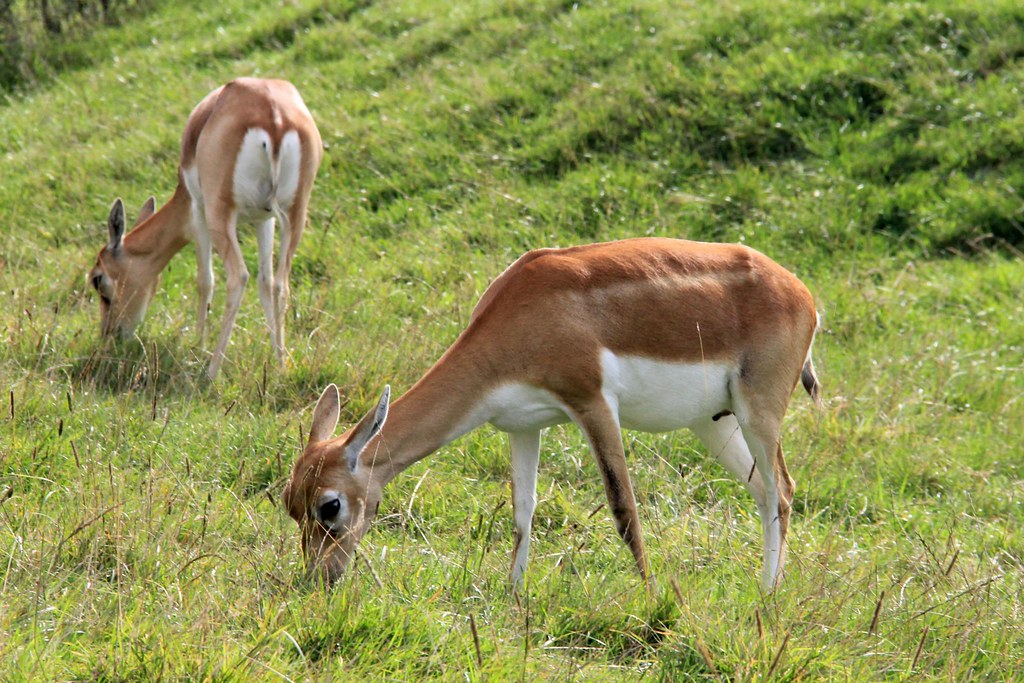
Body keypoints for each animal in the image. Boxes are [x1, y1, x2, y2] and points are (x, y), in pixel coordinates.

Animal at [87, 79, 321, 382]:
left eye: (97, 279)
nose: (110, 335)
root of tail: (274, 116)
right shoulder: (264, 219)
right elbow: (265, 282)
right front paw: (277, 360)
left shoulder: (197, 210)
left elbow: (204, 280)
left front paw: (198, 346)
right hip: (295, 213)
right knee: (281, 282)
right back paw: (281, 366)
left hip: (220, 215)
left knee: (237, 276)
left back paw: (211, 371)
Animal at [282, 239, 823, 593]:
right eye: (290, 503)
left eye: (329, 505)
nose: (318, 578)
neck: (522, 312)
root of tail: (802, 293)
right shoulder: (524, 426)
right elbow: (523, 513)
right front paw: (513, 595)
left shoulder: (593, 404)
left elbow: (624, 508)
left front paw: (653, 598)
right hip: (714, 421)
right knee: (763, 491)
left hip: (759, 410)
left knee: (783, 490)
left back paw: (768, 597)